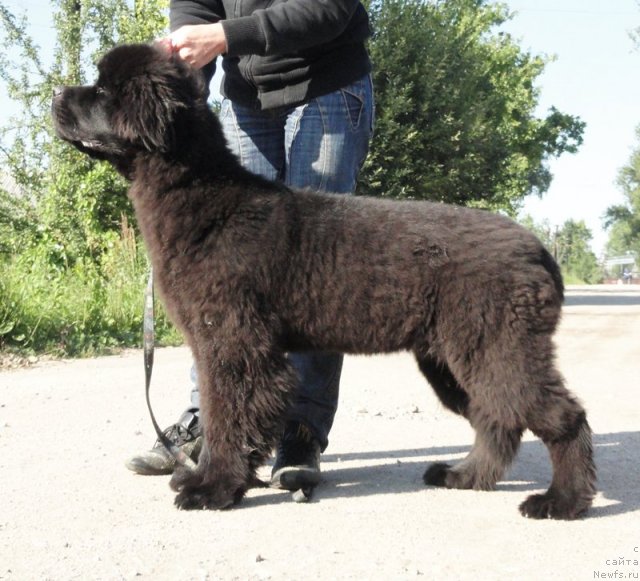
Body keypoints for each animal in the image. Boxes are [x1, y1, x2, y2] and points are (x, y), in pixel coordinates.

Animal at [52, 44, 596, 516]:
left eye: (103, 91)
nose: (56, 94)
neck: (207, 198)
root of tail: (540, 250)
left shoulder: (234, 344)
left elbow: (228, 418)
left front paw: (213, 489)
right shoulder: (220, 344)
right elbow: (221, 415)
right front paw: (208, 478)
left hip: (498, 347)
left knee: (560, 416)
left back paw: (561, 502)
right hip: (452, 358)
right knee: (496, 419)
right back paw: (464, 476)